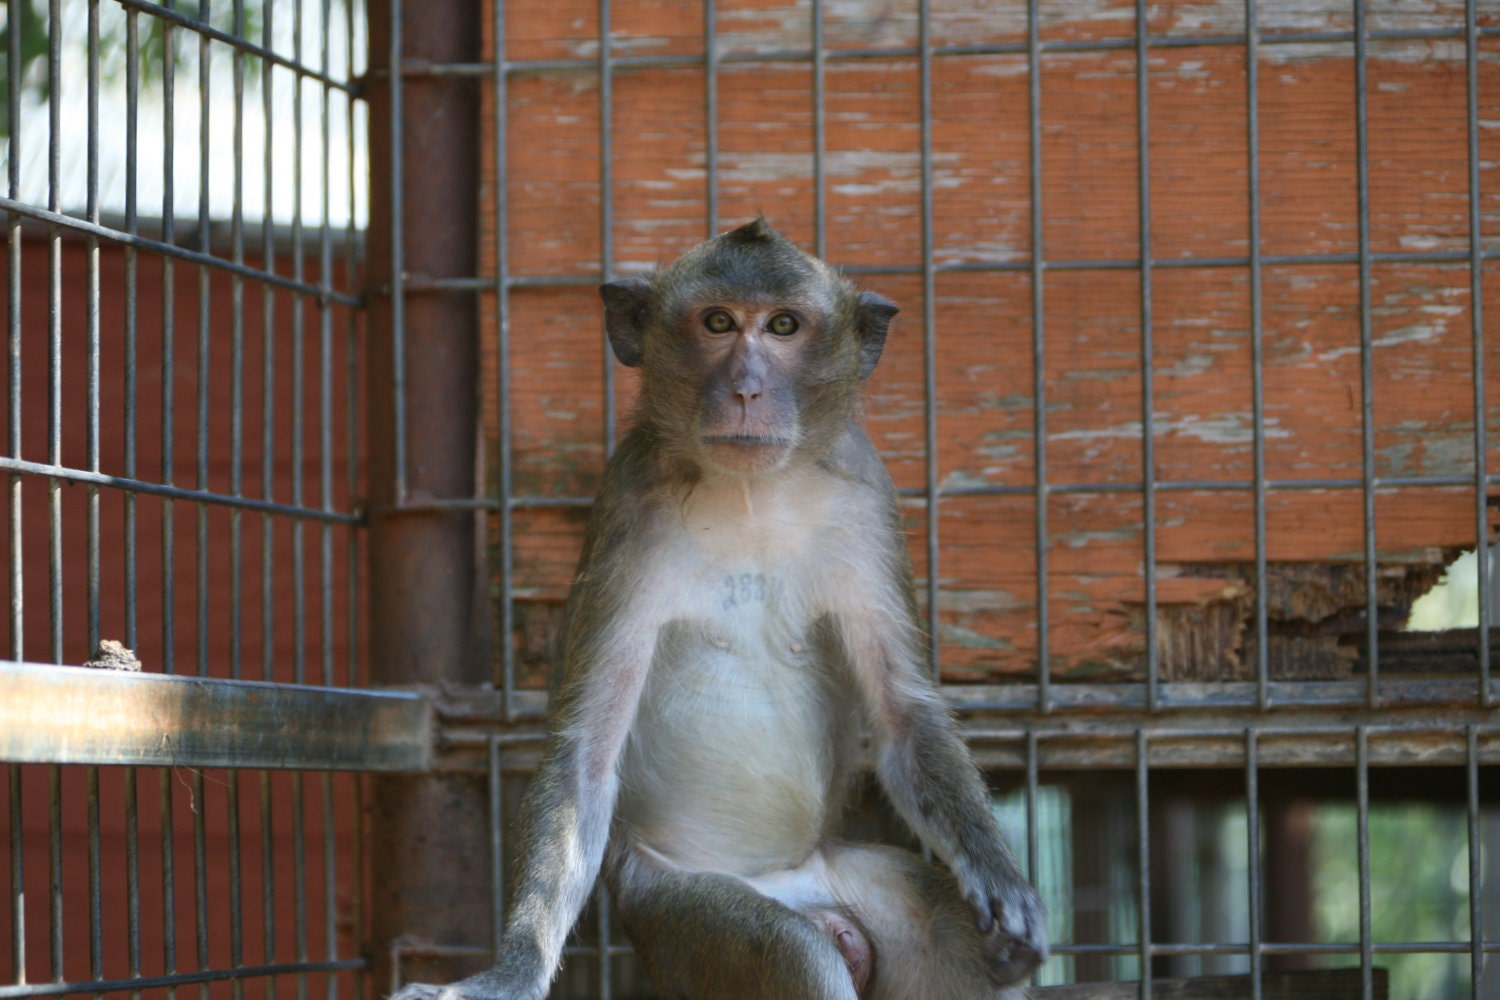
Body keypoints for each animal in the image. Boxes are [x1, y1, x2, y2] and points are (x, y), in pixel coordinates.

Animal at [391, 218, 1047, 1000]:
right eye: (718, 323)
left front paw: (1000, 881)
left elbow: (905, 713)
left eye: (784, 326)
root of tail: (799, 888)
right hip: (677, 912)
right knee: (794, 951)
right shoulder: (629, 508)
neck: (752, 492)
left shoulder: (868, 495)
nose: (746, 388)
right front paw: (509, 975)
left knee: (943, 931)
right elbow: (584, 756)